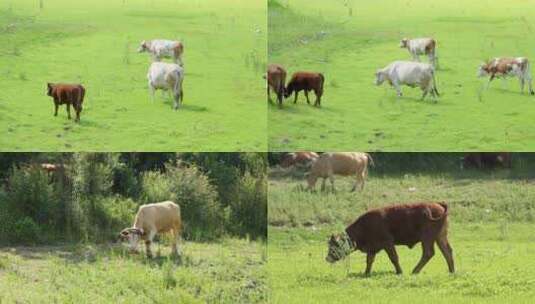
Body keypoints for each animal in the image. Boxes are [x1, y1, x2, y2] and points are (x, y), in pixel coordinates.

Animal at [324, 202, 454, 276]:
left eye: (334, 247)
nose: (327, 258)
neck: (366, 225)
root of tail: (438, 206)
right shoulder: (372, 248)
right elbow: (369, 260)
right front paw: (366, 273)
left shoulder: (388, 244)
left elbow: (394, 258)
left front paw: (399, 272)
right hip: (440, 237)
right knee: (447, 251)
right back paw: (452, 271)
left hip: (427, 238)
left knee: (428, 253)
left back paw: (414, 271)